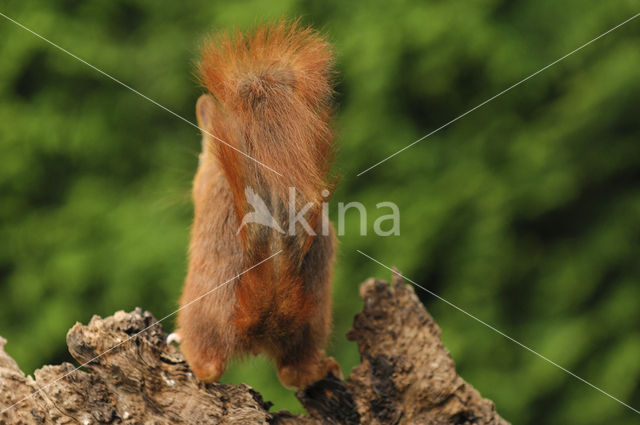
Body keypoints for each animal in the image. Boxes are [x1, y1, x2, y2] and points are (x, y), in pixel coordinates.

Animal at [170, 21, 340, 390]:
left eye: (199, 159)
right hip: (312, 321)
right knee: (293, 371)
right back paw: (322, 368)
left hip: (200, 311)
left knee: (210, 365)